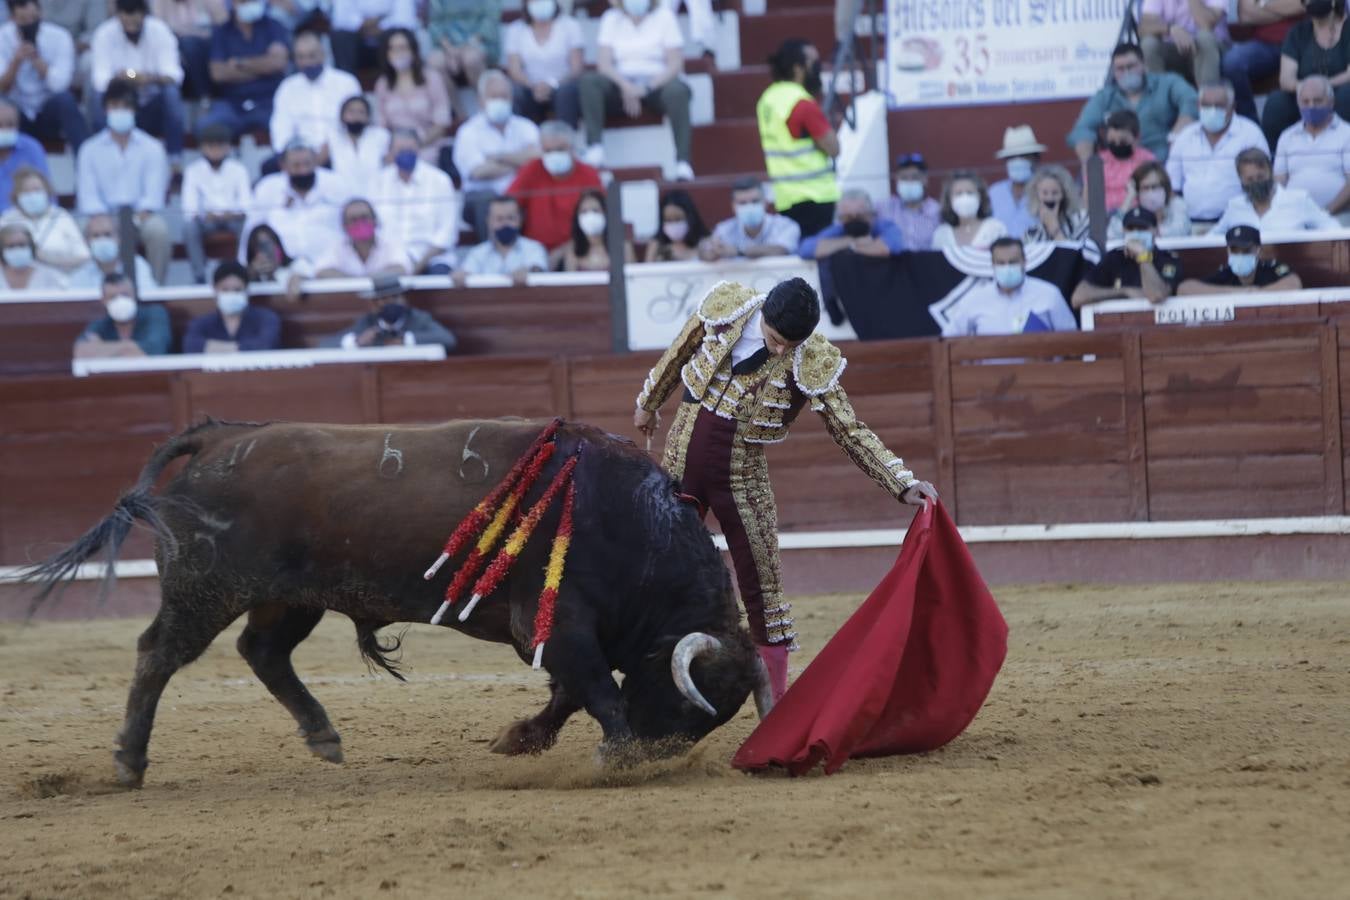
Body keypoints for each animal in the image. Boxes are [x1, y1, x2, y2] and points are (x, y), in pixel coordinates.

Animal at [23, 418, 772, 782]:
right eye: (684, 699)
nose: (658, 757)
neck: (628, 520)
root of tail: (219, 438)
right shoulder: (557, 625)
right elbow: (595, 690)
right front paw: (615, 755)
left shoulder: (557, 633)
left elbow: (569, 693)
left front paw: (520, 739)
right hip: (204, 589)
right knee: (158, 653)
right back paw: (128, 762)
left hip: (290, 597)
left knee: (262, 651)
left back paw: (322, 735)